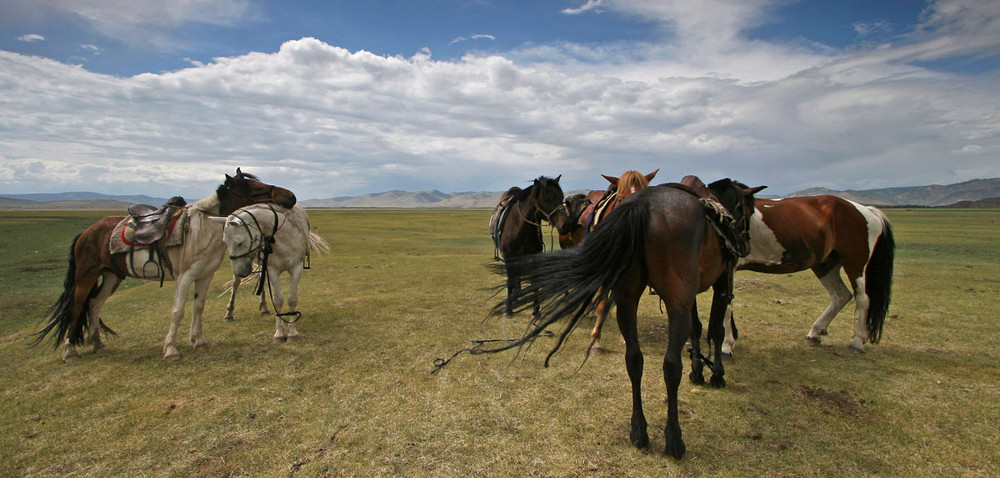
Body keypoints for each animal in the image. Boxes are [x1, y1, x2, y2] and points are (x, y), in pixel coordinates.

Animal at [32, 170, 296, 360]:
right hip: (86, 275)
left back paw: (97, 343)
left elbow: (198, 306)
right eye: (257, 188)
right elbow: (178, 310)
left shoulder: (205, 274)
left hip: (112, 275)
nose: (291, 197)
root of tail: (86, 232)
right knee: (77, 307)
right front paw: (171, 349)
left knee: (95, 304)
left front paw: (199, 341)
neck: (204, 229)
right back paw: (70, 352)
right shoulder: (184, 275)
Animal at [217, 204, 330, 342]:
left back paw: (264, 308)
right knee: (236, 284)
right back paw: (229, 313)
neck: (284, 237)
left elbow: (292, 298)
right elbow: (277, 300)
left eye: (240, 242)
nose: (240, 272)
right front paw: (280, 334)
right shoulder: (272, 269)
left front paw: (293, 333)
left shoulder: (296, 268)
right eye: (225, 242)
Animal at [490, 175, 572, 318]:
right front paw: (508, 310)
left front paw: (536, 310)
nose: (565, 225)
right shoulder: (509, 257)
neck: (520, 227)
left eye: (562, 197)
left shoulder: (534, 257)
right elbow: (510, 282)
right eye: (547, 198)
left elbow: (535, 283)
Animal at [724, 194, 896, 354]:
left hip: (855, 265)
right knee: (840, 295)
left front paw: (727, 345)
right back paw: (815, 332)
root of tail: (868, 211)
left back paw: (857, 342)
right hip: (825, 265)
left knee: (862, 299)